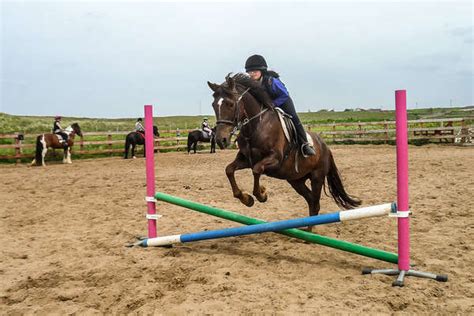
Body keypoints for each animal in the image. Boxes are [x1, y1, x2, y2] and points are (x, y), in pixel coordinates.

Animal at [206, 73, 360, 228]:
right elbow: (229, 170)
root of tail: (326, 147)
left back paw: (309, 231)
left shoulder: (275, 159)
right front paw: (246, 199)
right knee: (311, 201)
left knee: (315, 203)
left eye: (230, 104)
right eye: (213, 105)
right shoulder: (245, 159)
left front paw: (262, 194)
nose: (221, 140)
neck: (256, 126)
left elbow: (256, 170)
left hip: (317, 176)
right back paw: (308, 230)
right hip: (296, 180)